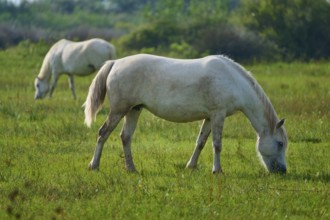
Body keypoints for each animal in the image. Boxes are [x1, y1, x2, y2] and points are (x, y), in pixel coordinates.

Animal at [84, 53, 288, 174]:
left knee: (125, 137)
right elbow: (217, 145)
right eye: (280, 143)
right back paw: (94, 165)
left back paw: (131, 169)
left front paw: (191, 166)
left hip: (134, 110)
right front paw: (217, 170)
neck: (233, 81)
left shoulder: (209, 117)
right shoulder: (218, 115)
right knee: (103, 133)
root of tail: (115, 63)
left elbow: (201, 142)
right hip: (119, 110)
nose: (283, 170)